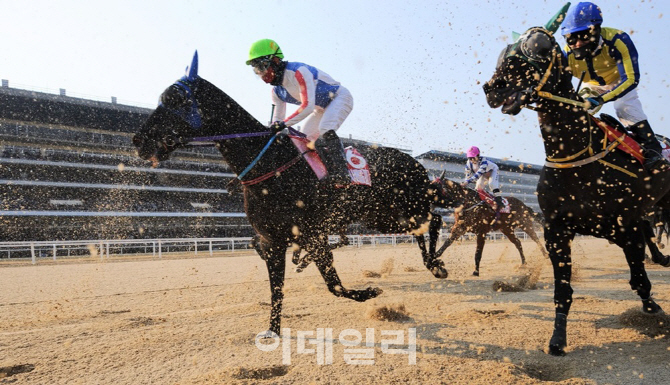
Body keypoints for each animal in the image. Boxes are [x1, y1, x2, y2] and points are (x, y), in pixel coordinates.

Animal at [132, 52, 448, 334]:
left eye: (176, 98)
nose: (139, 140)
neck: (270, 164)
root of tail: (416, 163)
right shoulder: (272, 240)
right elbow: (278, 290)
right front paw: (272, 331)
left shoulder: (314, 233)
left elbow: (334, 285)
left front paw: (369, 291)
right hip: (384, 217)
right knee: (423, 227)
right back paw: (434, 263)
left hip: (405, 207)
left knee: (434, 221)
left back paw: (436, 264)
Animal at [484, 28, 670, 356]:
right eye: (504, 52)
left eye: (538, 47)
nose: (491, 88)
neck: (576, 157)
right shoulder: (558, 230)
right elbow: (563, 290)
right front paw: (557, 338)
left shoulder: (626, 226)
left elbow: (639, 280)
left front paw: (654, 310)